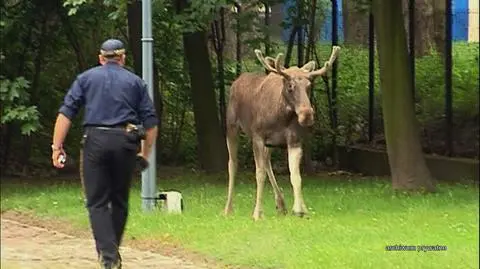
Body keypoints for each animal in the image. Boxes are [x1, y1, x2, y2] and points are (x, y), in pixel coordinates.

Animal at [223, 46, 340, 220]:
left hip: (270, 143)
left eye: (309, 85)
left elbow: (295, 175)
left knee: (267, 162)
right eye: (290, 86)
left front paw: (300, 209)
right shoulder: (258, 137)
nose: (307, 114)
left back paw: (281, 204)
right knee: (233, 163)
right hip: (231, 126)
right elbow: (259, 174)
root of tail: (236, 81)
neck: (281, 117)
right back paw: (228, 209)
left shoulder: (293, 140)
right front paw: (257, 213)